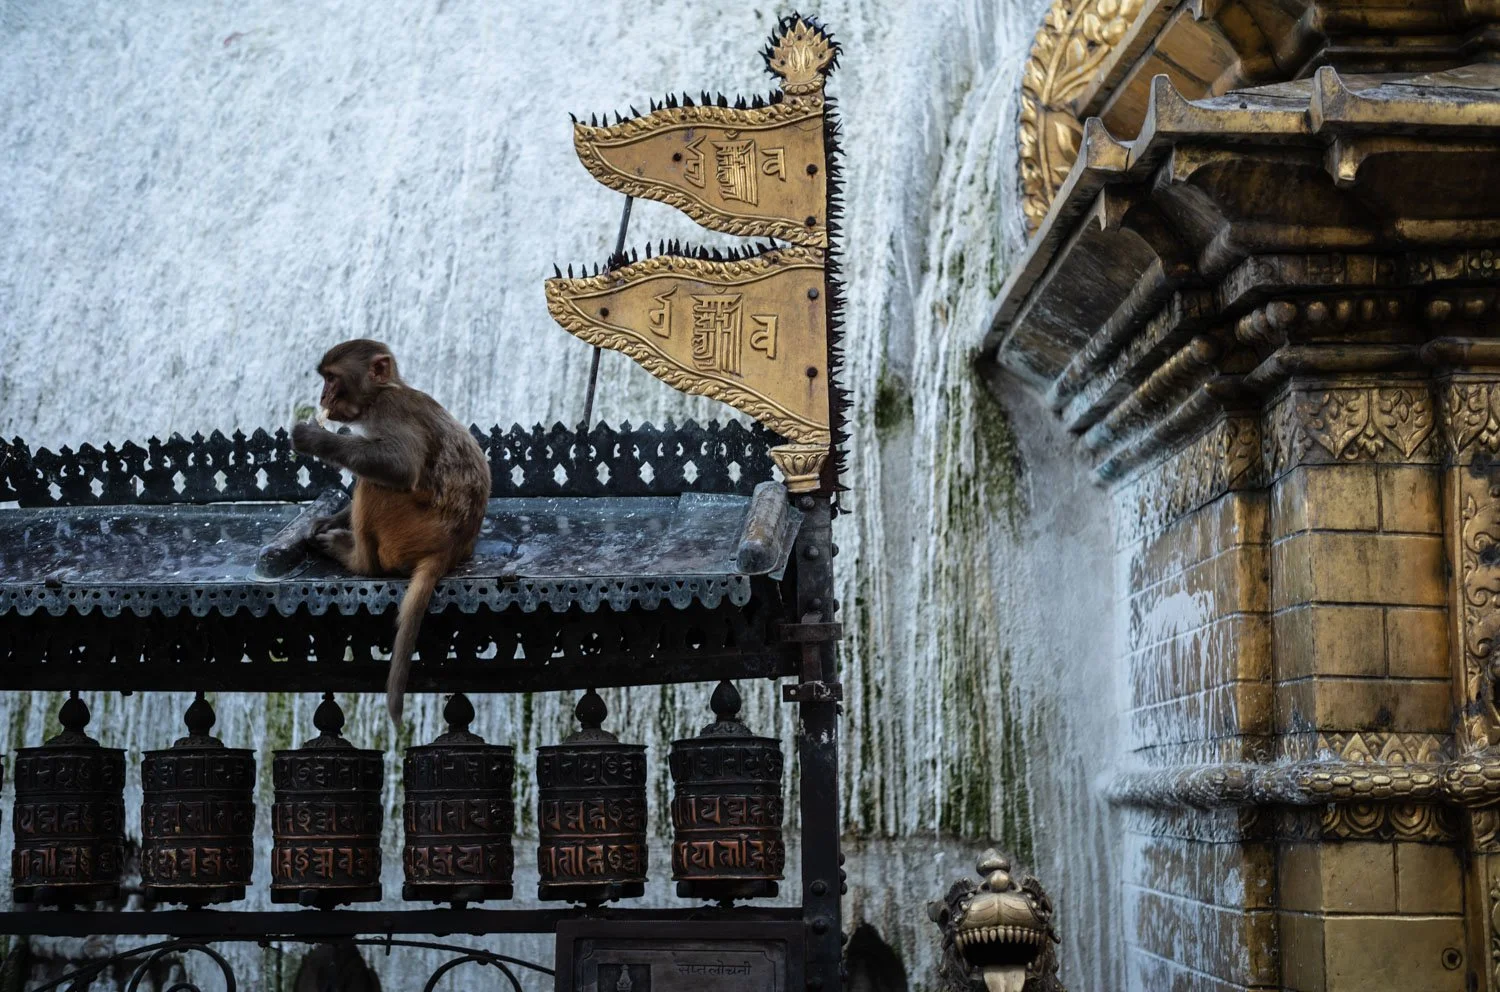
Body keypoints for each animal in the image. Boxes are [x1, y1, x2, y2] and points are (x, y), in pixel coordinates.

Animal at [290, 339, 491, 723]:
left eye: (332, 379)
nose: (323, 396)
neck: (383, 393)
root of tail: (451, 547)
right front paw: (330, 519)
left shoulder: (389, 411)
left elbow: (400, 466)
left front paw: (313, 438)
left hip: (408, 529)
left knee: (374, 484)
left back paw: (356, 559)